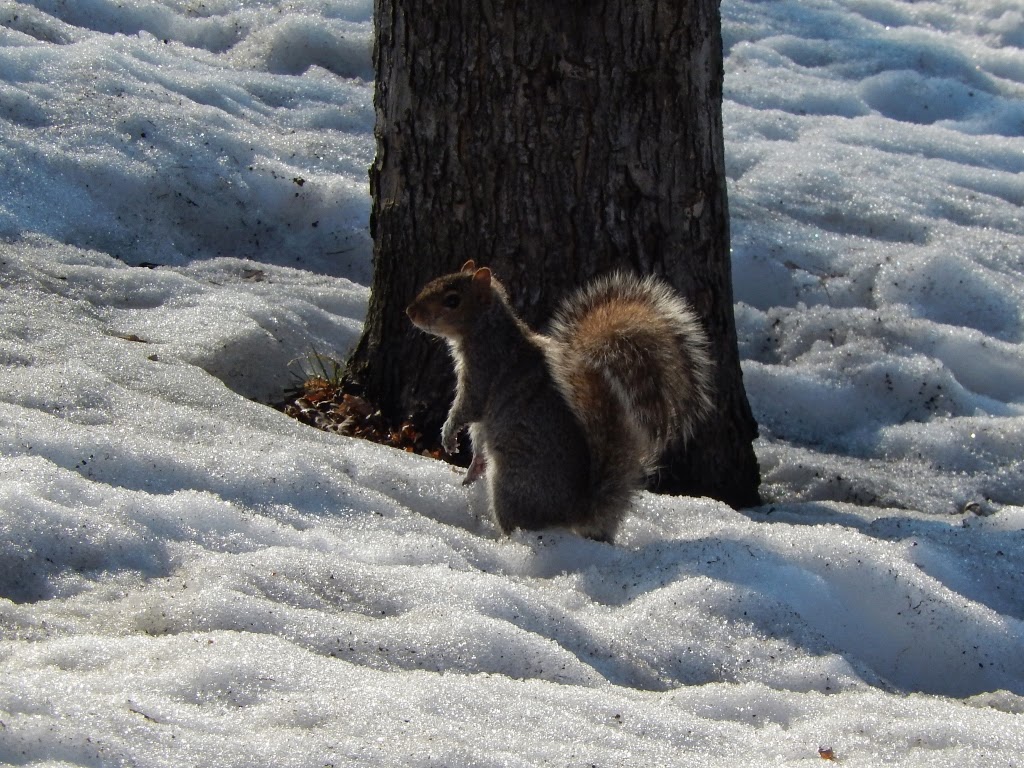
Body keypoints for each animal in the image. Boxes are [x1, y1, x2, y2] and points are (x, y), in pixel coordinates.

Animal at [405, 262, 712, 544]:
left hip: (510, 486)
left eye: (452, 300)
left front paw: (448, 435)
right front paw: (470, 470)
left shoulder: (483, 369)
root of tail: (575, 512)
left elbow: (468, 408)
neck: (487, 328)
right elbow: (478, 437)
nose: (410, 312)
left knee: (518, 525)